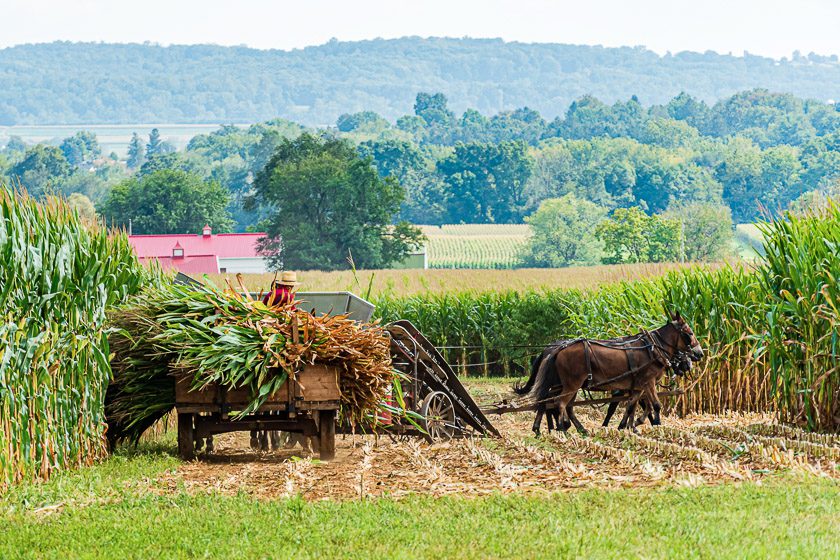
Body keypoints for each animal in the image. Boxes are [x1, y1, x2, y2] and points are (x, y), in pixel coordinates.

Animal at [520, 312, 704, 436]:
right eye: (689, 333)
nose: (699, 354)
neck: (652, 348)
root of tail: (558, 348)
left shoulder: (637, 386)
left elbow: (632, 406)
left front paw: (630, 426)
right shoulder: (648, 382)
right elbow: (655, 405)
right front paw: (656, 425)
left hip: (565, 385)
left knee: (554, 403)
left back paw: (560, 428)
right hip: (572, 384)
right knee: (559, 404)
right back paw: (562, 430)